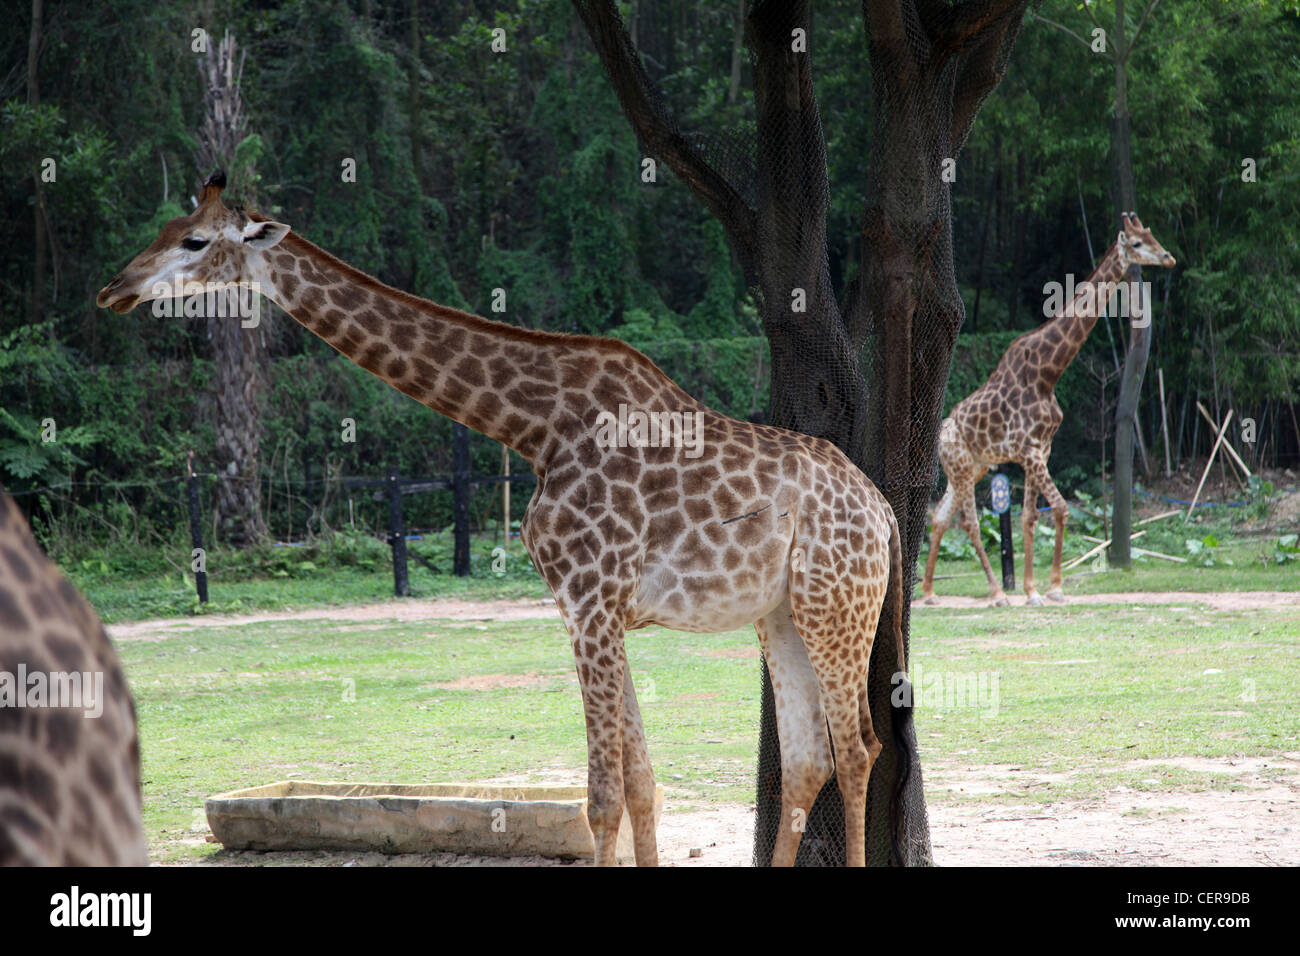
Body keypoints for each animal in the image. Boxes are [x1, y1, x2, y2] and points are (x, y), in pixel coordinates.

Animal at [98, 171, 915, 868]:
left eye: (195, 241)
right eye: (166, 226)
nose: (114, 288)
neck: (532, 428)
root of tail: (884, 512)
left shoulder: (590, 602)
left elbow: (603, 798)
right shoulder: (593, 610)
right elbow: (642, 786)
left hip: (836, 605)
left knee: (858, 750)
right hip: (782, 615)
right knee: (810, 759)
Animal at [920, 214, 1175, 606]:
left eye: (1151, 236)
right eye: (1136, 243)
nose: (1167, 257)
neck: (1048, 373)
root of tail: (941, 434)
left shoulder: (1040, 450)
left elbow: (1029, 517)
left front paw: (1033, 589)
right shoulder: (1029, 451)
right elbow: (1060, 508)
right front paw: (1051, 587)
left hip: (971, 469)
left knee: (940, 517)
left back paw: (930, 591)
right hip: (961, 467)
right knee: (968, 522)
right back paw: (996, 593)